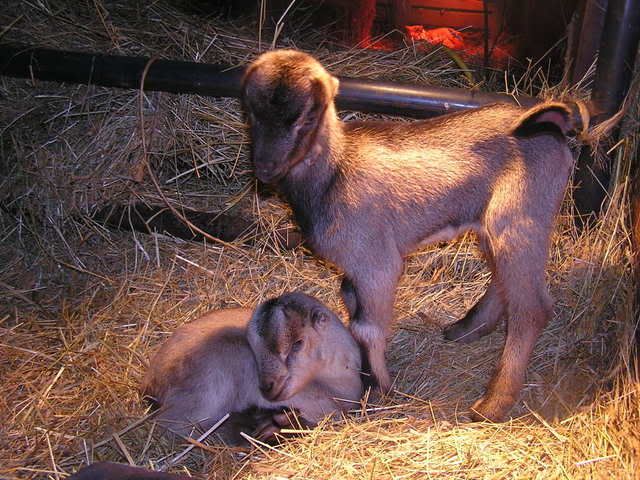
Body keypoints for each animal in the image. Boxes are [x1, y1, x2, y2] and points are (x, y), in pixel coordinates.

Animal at [241, 49, 589, 421]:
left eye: (307, 117)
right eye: (252, 112)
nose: (265, 169)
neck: (336, 172)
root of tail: (546, 124)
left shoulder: (375, 263)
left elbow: (366, 327)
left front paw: (379, 388)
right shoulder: (354, 270)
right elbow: (350, 302)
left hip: (521, 215)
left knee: (532, 307)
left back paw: (492, 404)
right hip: (495, 224)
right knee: (504, 278)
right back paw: (467, 329)